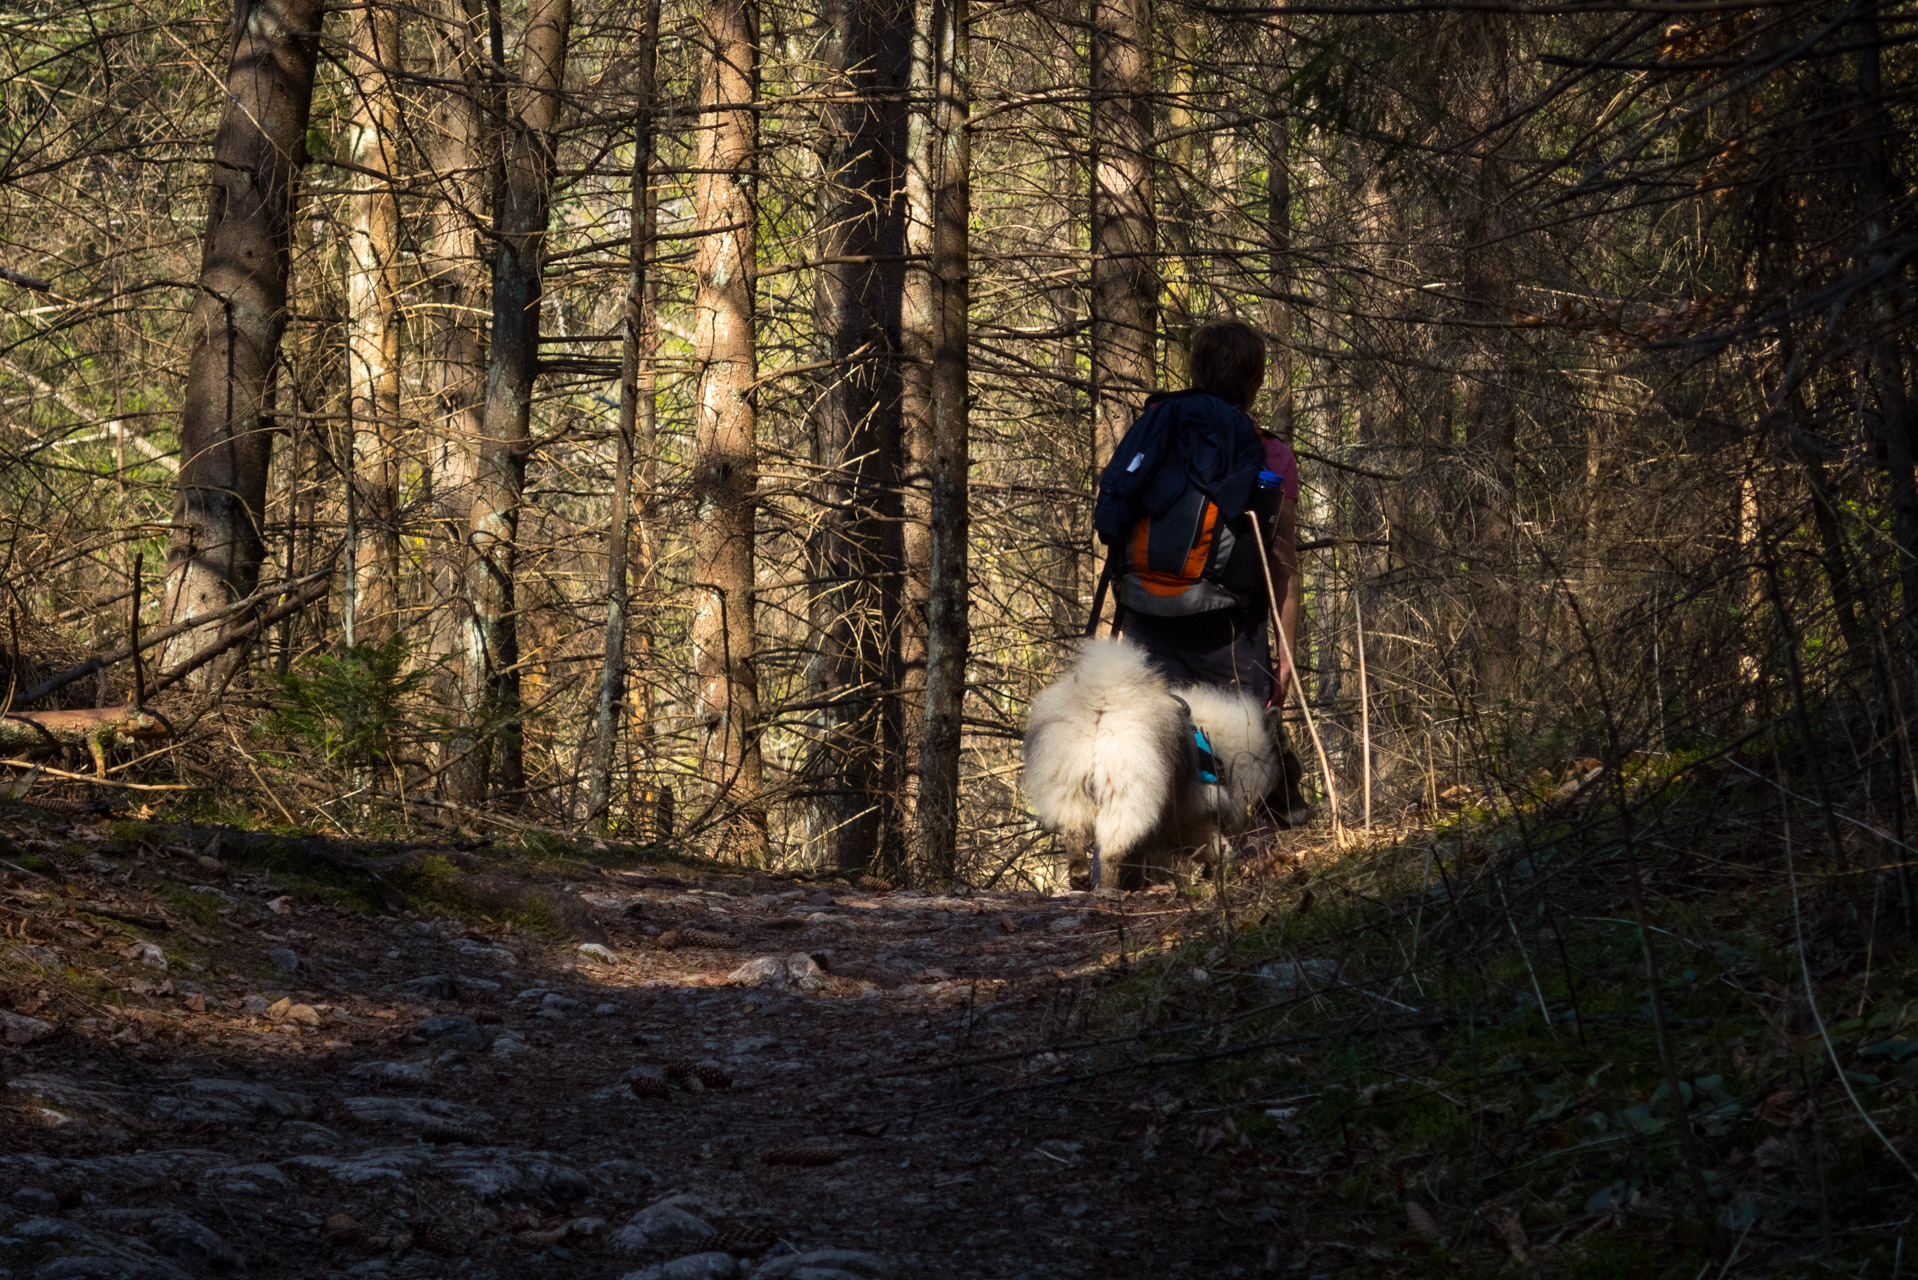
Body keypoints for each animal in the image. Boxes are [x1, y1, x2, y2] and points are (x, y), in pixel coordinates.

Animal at [1020, 637, 1288, 890]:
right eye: (1290, 773)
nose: (1299, 816)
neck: (1218, 746)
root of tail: (1104, 705)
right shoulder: (1191, 816)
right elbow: (1215, 848)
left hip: (1070, 788)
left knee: (1074, 832)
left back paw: (1080, 876)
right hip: (1125, 797)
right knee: (1110, 852)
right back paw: (1107, 888)